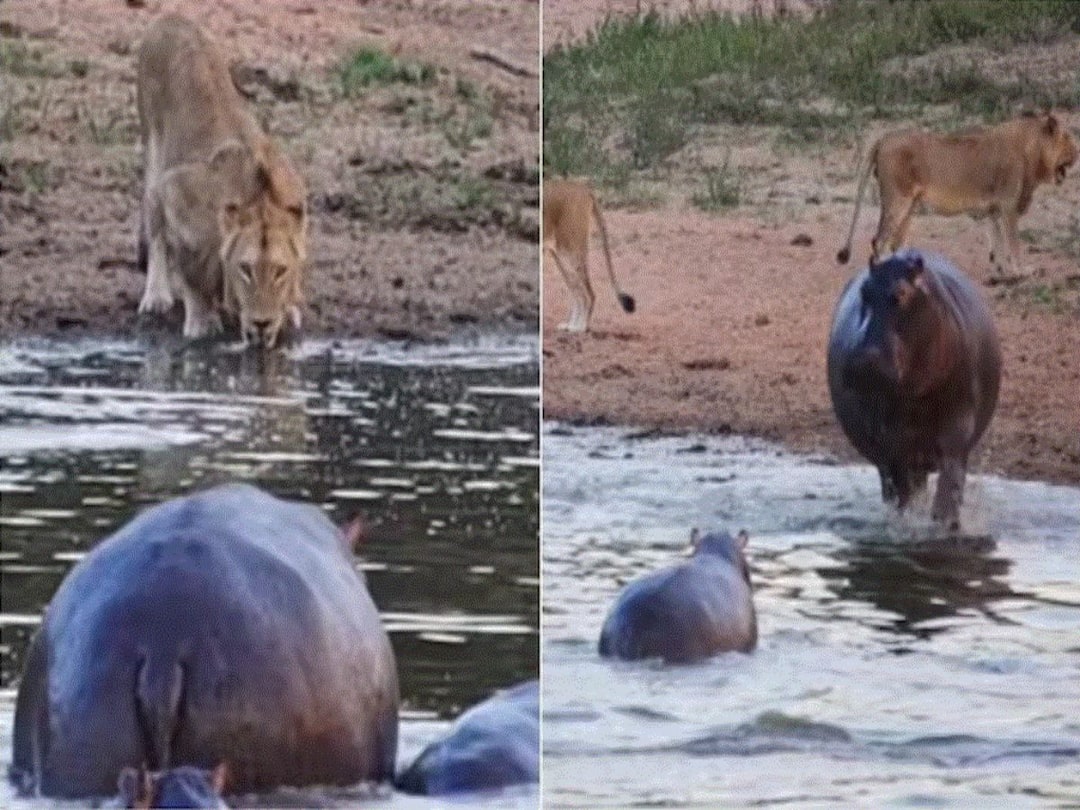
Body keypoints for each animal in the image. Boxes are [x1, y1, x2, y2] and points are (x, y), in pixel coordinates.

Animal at [136, 14, 307, 348]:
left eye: (280, 271)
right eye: (246, 269)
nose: (262, 324)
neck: (258, 198)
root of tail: (170, 18)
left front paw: (290, 308)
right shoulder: (174, 189)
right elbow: (192, 274)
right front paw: (202, 320)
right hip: (154, 151)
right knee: (155, 226)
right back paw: (157, 295)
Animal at [543, 178, 635, 333]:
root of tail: (584, 188)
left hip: (570, 249)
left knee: (589, 293)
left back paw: (581, 327)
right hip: (560, 255)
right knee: (578, 291)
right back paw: (571, 325)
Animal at [827, 249, 1002, 530]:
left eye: (900, 295)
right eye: (864, 291)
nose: (863, 359)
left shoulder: (959, 418)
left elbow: (952, 471)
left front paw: (945, 521)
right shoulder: (888, 436)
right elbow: (901, 484)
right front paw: (908, 521)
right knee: (894, 483)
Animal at [836, 111, 1077, 276]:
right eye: (1067, 138)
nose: (1078, 153)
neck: (1031, 151)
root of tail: (884, 138)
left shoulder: (995, 208)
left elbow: (997, 240)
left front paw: (1000, 270)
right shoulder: (1009, 204)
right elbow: (1013, 243)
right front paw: (1022, 271)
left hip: (909, 206)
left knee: (895, 243)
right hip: (898, 201)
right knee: (878, 242)